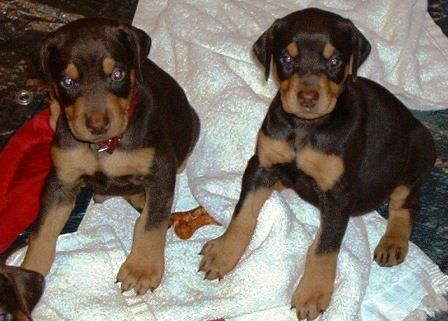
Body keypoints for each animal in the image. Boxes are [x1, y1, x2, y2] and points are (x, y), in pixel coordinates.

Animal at [14, 16, 200, 302]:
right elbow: (43, 231)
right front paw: (29, 273)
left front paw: (142, 269)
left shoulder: (161, 171)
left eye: (117, 74)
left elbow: (152, 223)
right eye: (67, 81)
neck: (103, 147)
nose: (98, 125)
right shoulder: (62, 180)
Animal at [199, 8, 434, 320]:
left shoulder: (338, 193)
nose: (308, 98)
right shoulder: (261, 165)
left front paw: (312, 293)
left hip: (419, 152)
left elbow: (325, 245)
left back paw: (392, 242)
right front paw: (223, 254)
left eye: (334, 61)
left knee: (406, 202)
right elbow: (242, 215)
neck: (305, 128)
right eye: (287, 59)